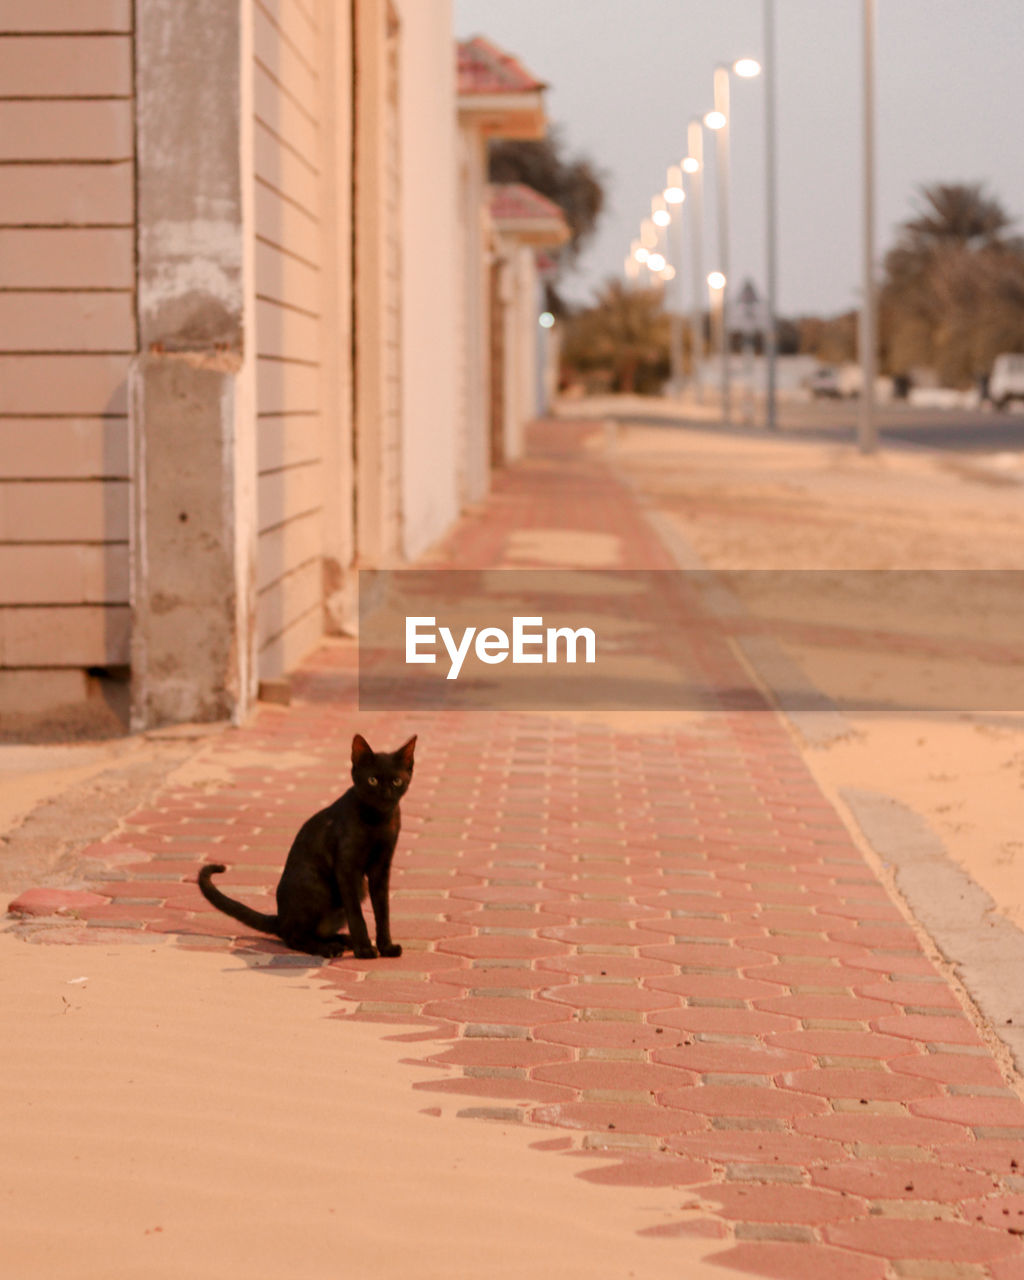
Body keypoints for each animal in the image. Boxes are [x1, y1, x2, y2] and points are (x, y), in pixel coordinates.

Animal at [198, 737, 414, 957]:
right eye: (372, 780)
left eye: (396, 781)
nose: (385, 794)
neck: (378, 821)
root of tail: (280, 918)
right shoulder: (346, 869)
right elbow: (356, 914)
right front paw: (364, 949)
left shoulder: (382, 867)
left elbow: (383, 911)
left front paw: (386, 947)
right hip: (318, 886)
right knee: (294, 937)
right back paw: (329, 948)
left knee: (317, 932)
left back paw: (343, 940)